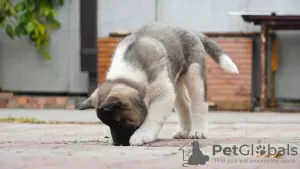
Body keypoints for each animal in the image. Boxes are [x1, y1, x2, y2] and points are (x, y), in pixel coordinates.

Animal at [78, 21, 239, 146]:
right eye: (108, 124)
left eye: (119, 122)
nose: (118, 143)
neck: (128, 74)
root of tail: (189, 30)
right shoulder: (168, 90)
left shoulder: (164, 94)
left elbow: (153, 117)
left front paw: (142, 134)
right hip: (175, 83)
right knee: (184, 104)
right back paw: (183, 131)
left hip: (194, 75)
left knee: (199, 103)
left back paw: (199, 131)